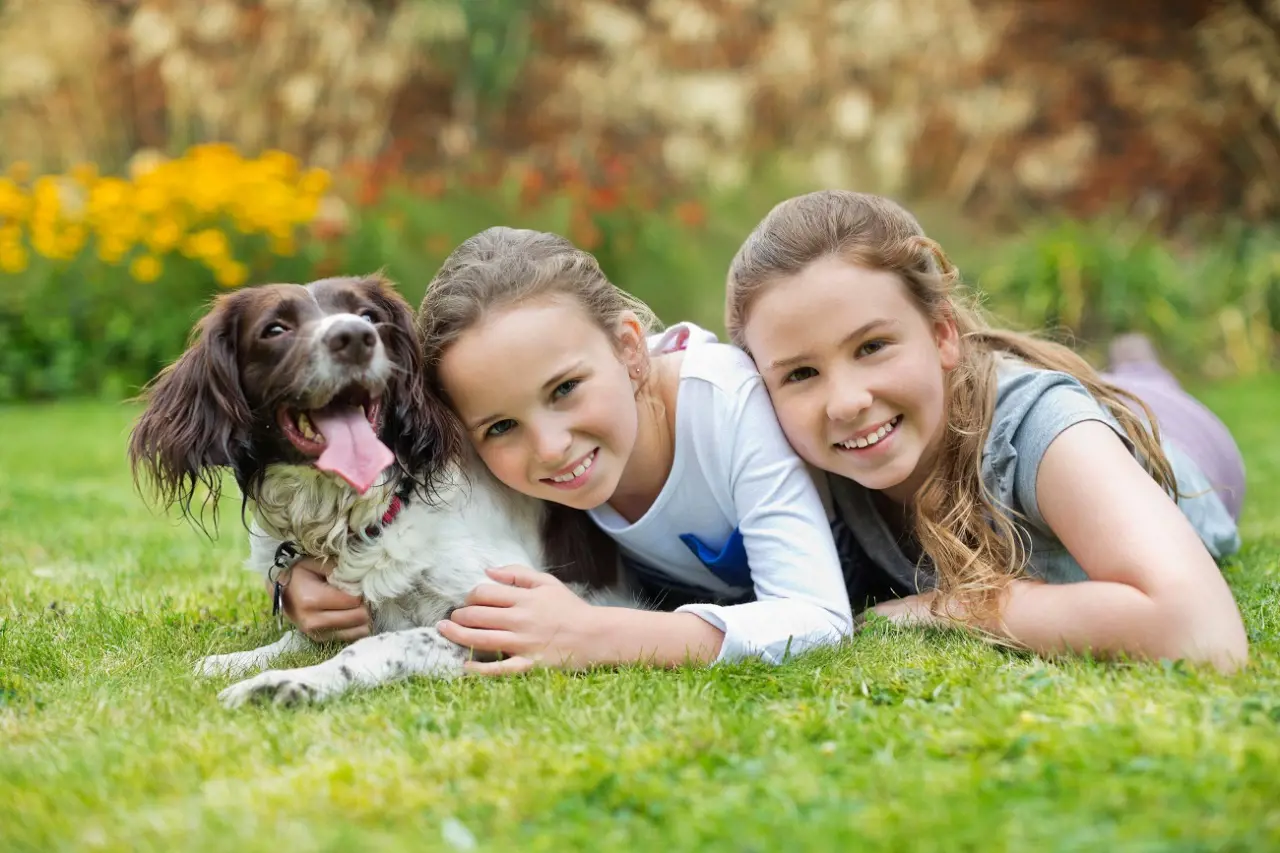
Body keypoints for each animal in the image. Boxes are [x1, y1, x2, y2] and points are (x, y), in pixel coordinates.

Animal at [129, 272, 629, 701]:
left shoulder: (497, 615)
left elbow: (374, 646)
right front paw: (237, 661)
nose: (354, 337)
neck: (360, 517)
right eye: (275, 328)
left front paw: (285, 683)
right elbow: (300, 639)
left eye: (369, 316)